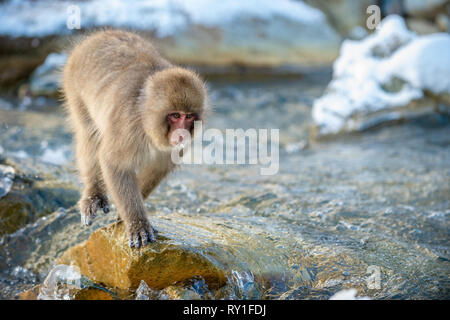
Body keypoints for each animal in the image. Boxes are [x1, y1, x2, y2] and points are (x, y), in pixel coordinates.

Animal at [63, 30, 209, 249]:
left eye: (189, 116)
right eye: (176, 116)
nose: (182, 133)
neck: (146, 120)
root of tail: (98, 35)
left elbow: (159, 166)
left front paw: (124, 214)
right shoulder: (128, 128)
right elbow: (114, 163)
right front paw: (137, 222)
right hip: (74, 88)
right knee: (89, 134)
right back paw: (93, 194)